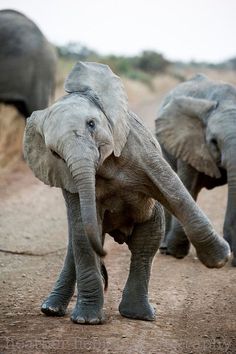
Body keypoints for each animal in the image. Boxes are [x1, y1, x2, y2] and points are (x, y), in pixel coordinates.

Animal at [23, 61, 230, 324]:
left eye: (92, 124)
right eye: (54, 153)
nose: (105, 254)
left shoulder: (138, 146)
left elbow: (174, 192)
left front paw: (220, 259)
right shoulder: (67, 177)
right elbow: (82, 235)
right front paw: (87, 321)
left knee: (144, 245)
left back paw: (138, 315)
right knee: (77, 242)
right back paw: (51, 309)